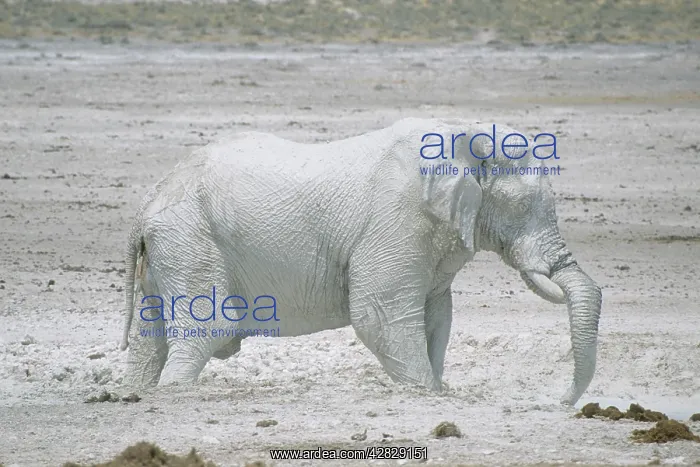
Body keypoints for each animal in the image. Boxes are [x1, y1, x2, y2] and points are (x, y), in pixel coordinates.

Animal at [119, 117, 602, 406]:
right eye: (522, 207)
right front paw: (426, 393)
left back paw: (139, 393)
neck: (466, 135)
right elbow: (379, 315)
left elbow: (436, 317)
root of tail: (145, 204)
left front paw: (436, 391)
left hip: (171, 250)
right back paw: (175, 393)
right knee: (209, 330)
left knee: (151, 339)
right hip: (190, 239)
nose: (560, 401)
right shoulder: (399, 217)